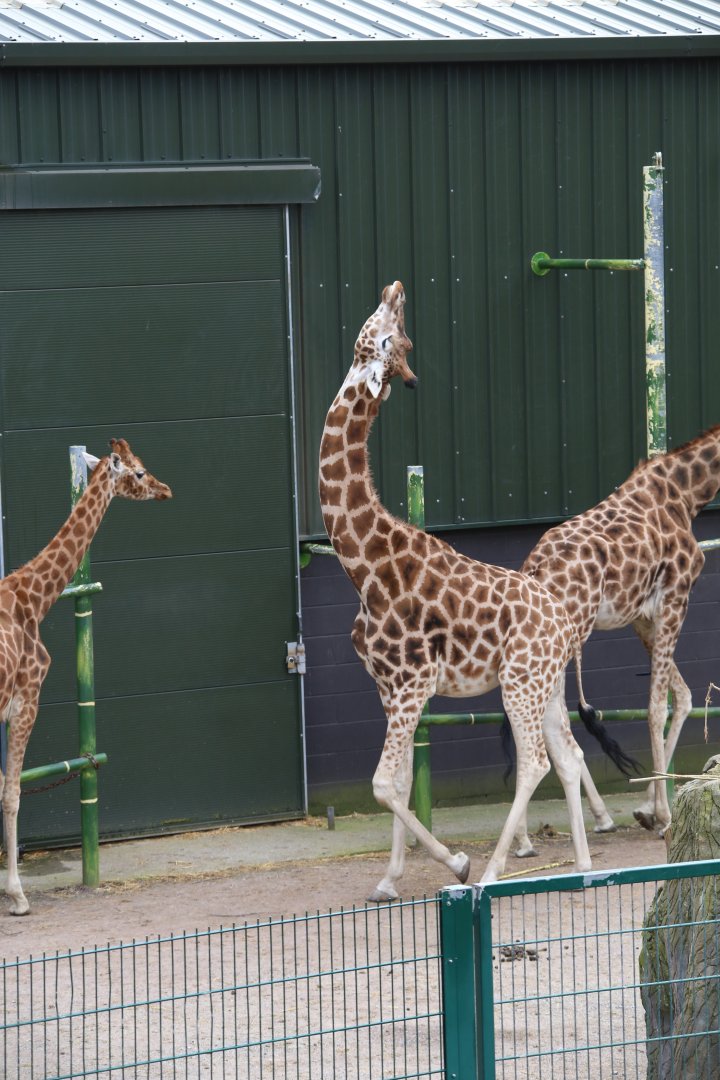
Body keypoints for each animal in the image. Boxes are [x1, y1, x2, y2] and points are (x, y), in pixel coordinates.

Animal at [1, 438, 171, 915]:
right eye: (139, 472)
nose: (165, 489)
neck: (33, 598)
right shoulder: (26, 697)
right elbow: (11, 793)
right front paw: (17, 895)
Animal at [320, 281, 596, 900]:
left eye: (388, 337)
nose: (394, 289)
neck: (362, 565)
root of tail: (566, 624)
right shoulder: (389, 688)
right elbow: (398, 780)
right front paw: (388, 881)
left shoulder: (411, 684)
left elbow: (382, 784)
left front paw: (457, 864)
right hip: (545, 685)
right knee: (568, 755)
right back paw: (586, 868)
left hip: (519, 684)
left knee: (536, 762)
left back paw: (492, 874)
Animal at [518, 425, 720, 847]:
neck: (687, 492)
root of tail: (534, 568)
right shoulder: (675, 598)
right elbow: (657, 706)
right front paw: (663, 815)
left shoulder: (641, 616)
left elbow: (683, 697)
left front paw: (647, 808)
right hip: (565, 635)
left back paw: (540, 834)